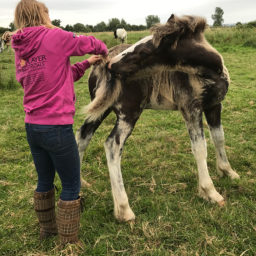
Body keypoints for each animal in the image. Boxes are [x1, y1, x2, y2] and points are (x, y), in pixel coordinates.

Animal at [76, 14, 240, 222]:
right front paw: (210, 192)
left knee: (83, 135)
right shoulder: (191, 108)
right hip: (129, 112)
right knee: (112, 145)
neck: (211, 73)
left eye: (145, 49)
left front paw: (228, 171)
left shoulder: (214, 106)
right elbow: (200, 148)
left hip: (101, 108)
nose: (112, 65)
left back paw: (80, 182)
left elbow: (219, 138)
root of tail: (101, 64)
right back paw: (124, 210)